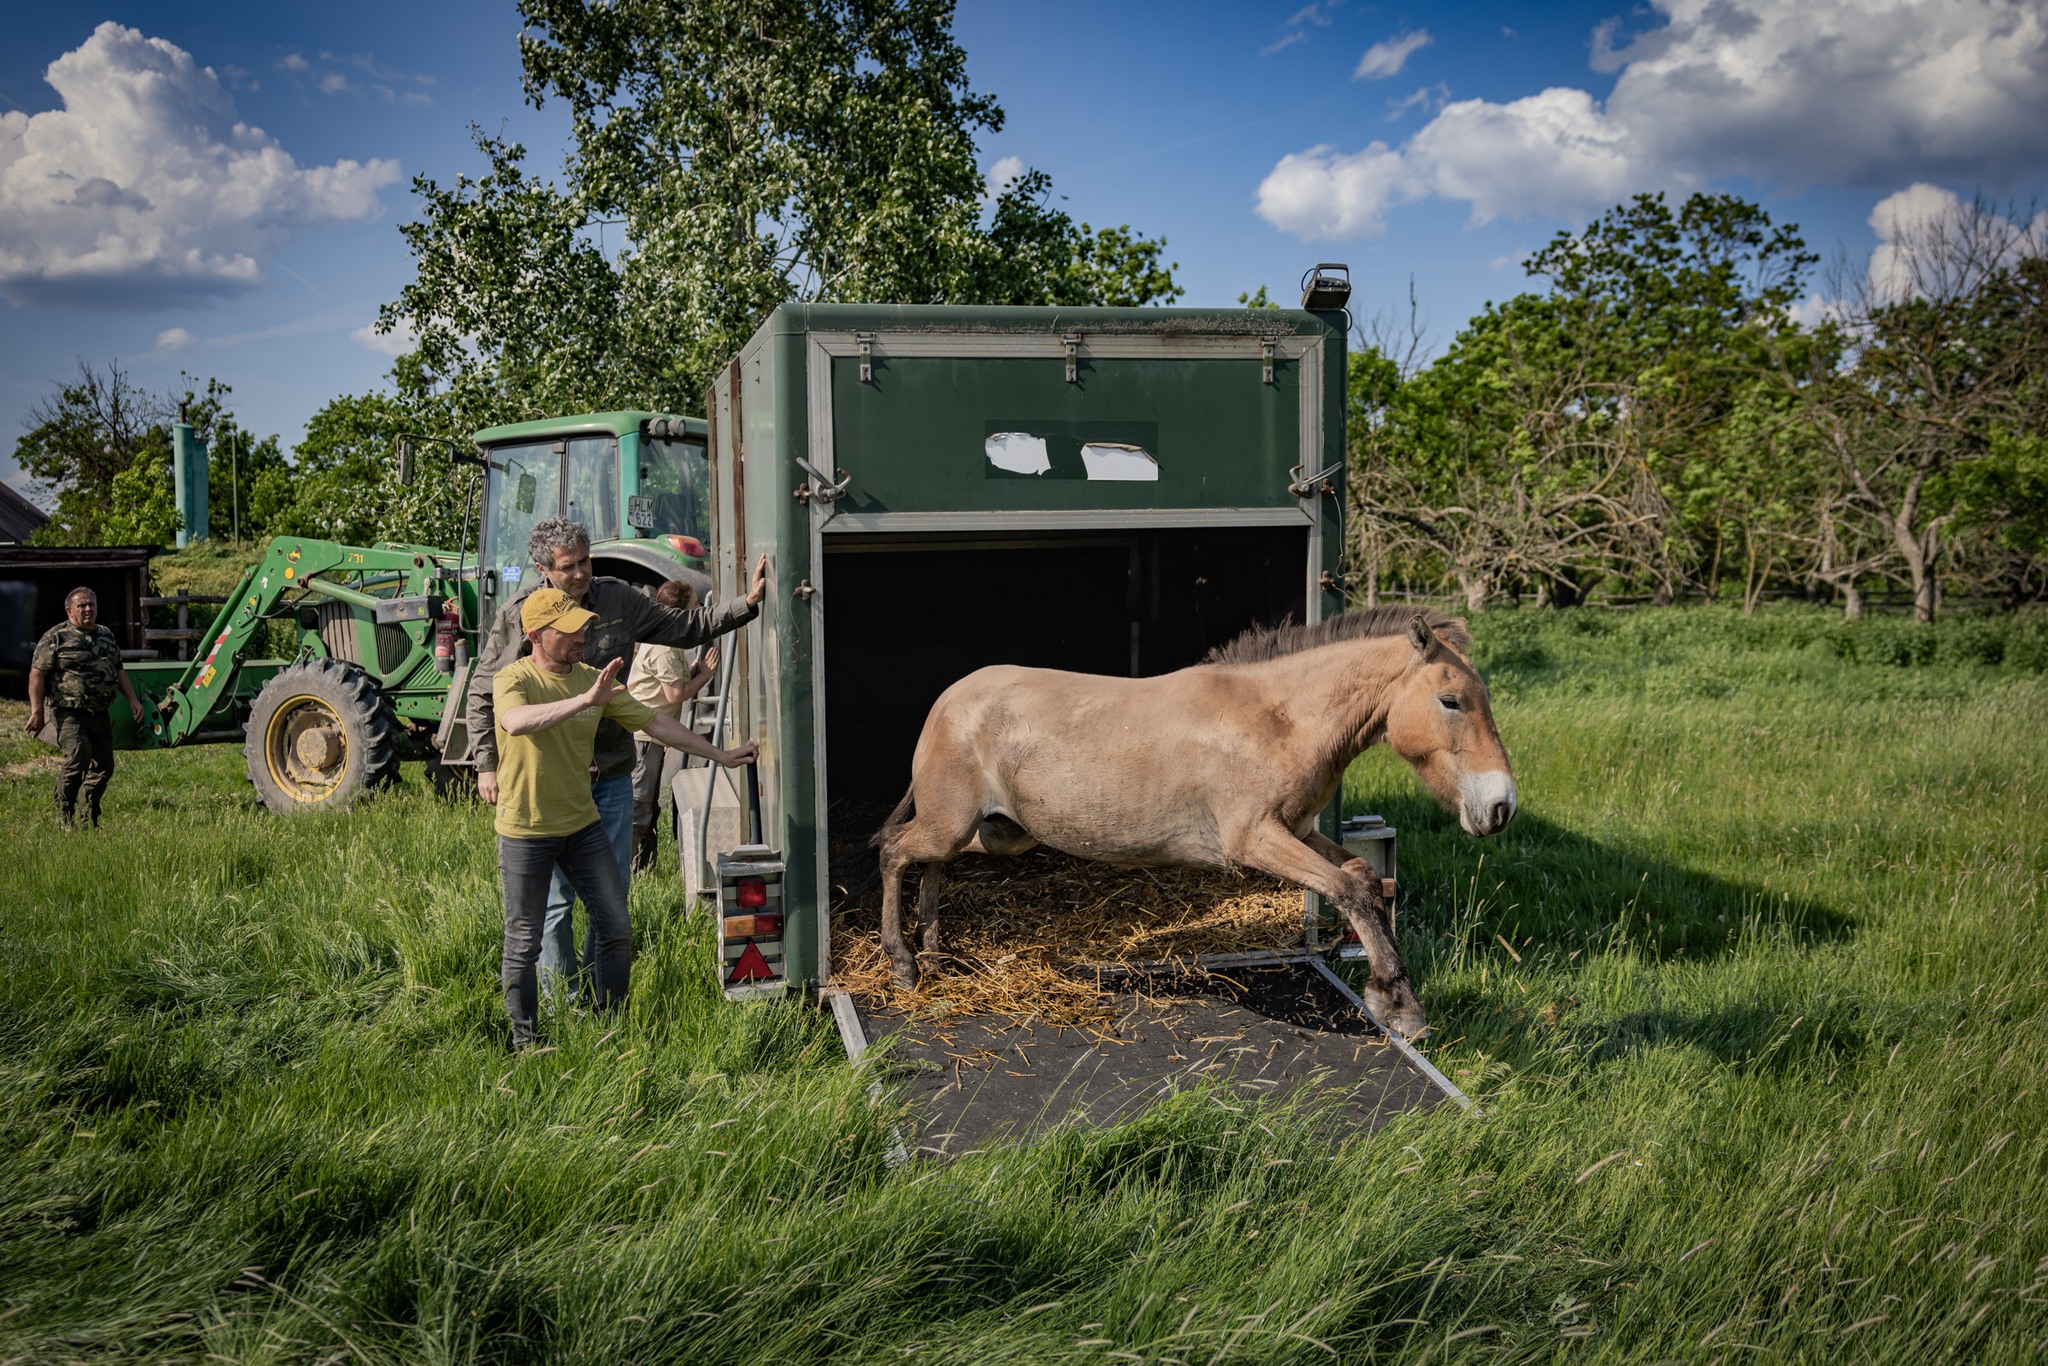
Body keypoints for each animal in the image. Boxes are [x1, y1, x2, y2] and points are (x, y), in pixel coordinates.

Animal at [873, 607, 1516, 1040]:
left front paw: (1396, 998)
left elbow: (1363, 877)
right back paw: (904, 963)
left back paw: (934, 952)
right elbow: (1350, 888)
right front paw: (1399, 1006)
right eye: (1452, 701)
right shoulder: (1255, 840)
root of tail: (946, 700)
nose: (1501, 806)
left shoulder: (1298, 831)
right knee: (895, 851)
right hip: (954, 823)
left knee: (933, 862)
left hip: (995, 833)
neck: (1280, 719)